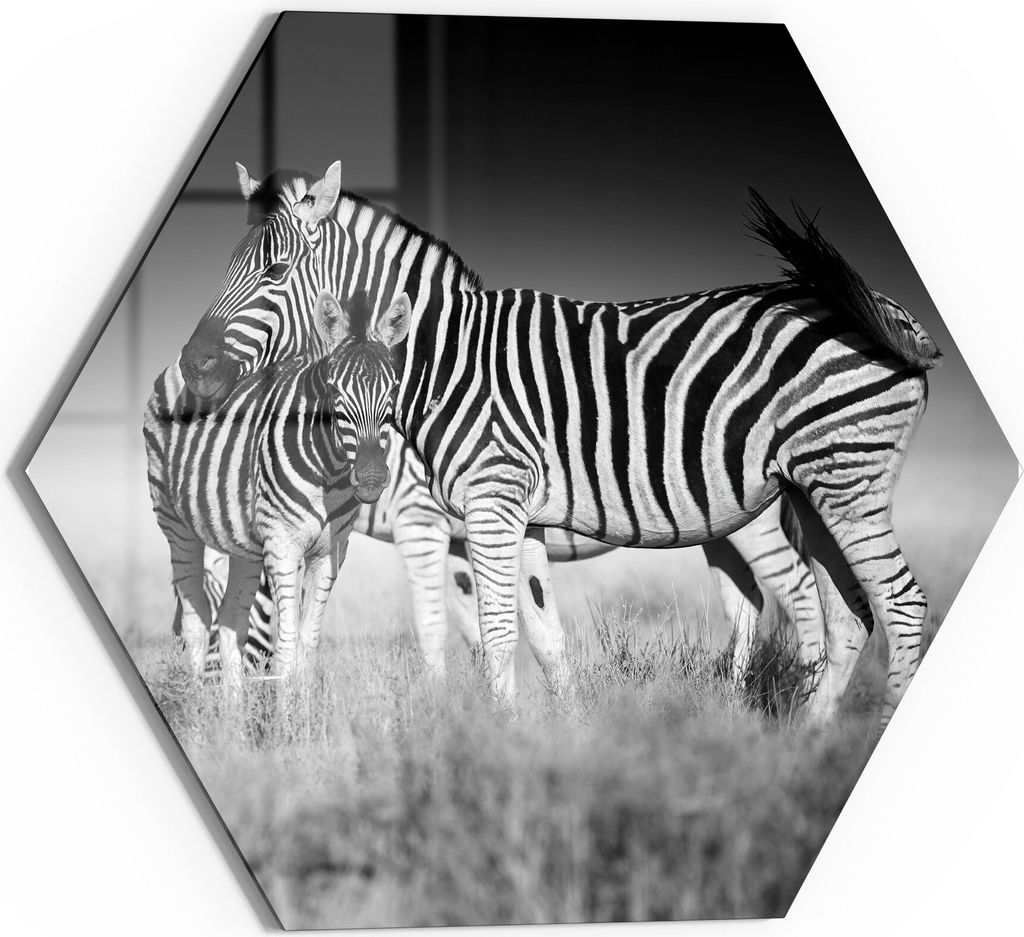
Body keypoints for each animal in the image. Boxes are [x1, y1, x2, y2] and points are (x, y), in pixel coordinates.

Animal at [145, 288, 412, 686]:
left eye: (393, 389)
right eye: (334, 390)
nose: (372, 477)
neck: (330, 473)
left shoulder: (330, 551)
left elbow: (307, 645)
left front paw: (303, 705)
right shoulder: (283, 546)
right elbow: (285, 645)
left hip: (242, 543)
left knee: (231, 623)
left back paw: (233, 704)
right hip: (175, 524)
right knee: (195, 623)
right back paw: (196, 702)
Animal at [178, 166, 940, 728]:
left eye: (275, 273)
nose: (192, 366)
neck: (439, 360)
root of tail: (885, 310)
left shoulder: (463, 511)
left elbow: (476, 630)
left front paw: (486, 743)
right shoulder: (515, 516)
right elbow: (538, 633)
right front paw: (557, 737)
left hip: (842, 482)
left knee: (888, 606)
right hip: (809, 488)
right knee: (841, 613)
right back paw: (803, 736)